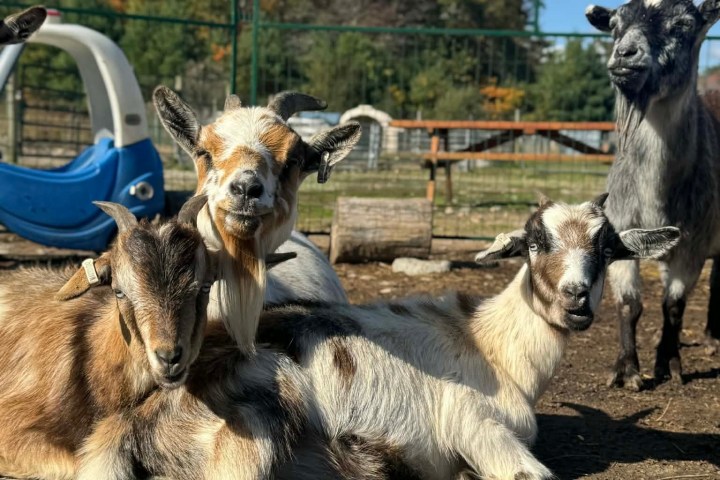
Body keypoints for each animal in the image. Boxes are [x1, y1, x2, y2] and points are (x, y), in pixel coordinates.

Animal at [586, 0, 720, 389]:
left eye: (683, 24)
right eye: (615, 25)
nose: (625, 54)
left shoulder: (694, 244)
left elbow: (673, 305)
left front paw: (669, 365)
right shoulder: (619, 231)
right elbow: (630, 303)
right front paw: (627, 370)